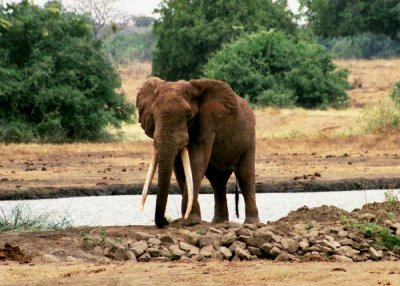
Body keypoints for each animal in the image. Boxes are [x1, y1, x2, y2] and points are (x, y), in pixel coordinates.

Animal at [138, 77, 260, 228]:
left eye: (188, 115)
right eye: (153, 115)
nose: (166, 222)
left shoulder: (206, 124)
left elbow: (196, 161)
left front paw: (191, 222)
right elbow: (180, 169)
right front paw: (192, 221)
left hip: (249, 137)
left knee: (245, 176)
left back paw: (251, 223)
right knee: (217, 181)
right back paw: (218, 222)